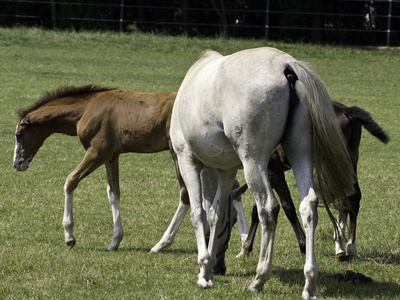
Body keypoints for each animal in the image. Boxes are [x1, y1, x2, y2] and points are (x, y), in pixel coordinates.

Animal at [169, 48, 354, 298]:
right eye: (232, 223)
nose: (220, 268)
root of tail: (287, 66)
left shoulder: (188, 160)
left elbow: (199, 213)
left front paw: (204, 273)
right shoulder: (226, 170)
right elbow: (215, 214)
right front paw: (207, 268)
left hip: (254, 162)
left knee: (268, 208)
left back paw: (259, 278)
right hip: (300, 153)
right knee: (308, 206)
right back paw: (310, 283)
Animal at [239, 101, 390, 260]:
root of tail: (346, 110)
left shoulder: (273, 170)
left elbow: (287, 207)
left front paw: (303, 245)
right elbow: (257, 210)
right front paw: (246, 248)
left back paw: (343, 245)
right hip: (349, 161)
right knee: (351, 197)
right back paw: (346, 246)